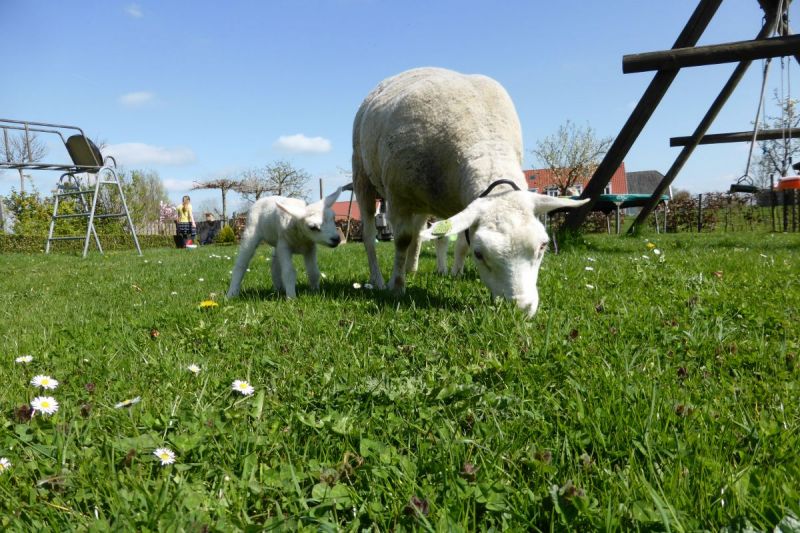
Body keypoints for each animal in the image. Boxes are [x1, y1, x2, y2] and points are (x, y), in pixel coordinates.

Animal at [352, 66, 588, 316]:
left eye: (543, 246)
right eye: (480, 254)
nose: (521, 309)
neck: (485, 143)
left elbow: (458, 242)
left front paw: (455, 273)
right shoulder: (399, 196)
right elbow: (402, 240)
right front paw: (396, 287)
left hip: (422, 202)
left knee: (420, 232)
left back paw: (412, 269)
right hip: (362, 174)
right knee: (370, 235)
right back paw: (378, 279)